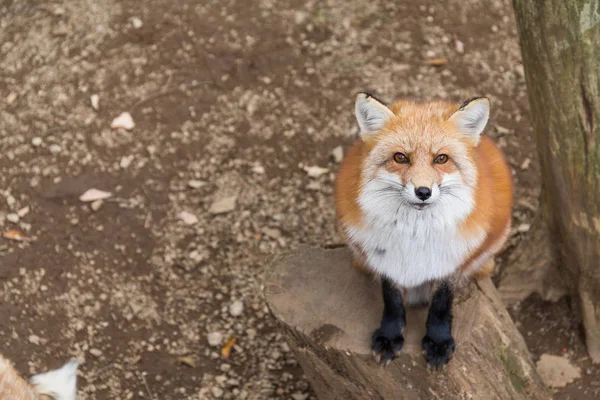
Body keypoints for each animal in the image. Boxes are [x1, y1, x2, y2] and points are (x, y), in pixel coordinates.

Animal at [336, 92, 512, 368]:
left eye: (441, 158)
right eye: (400, 157)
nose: (423, 192)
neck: (415, 236)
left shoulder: (451, 261)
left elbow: (441, 304)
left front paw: (438, 342)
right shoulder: (384, 257)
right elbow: (392, 300)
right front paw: (389, 336)